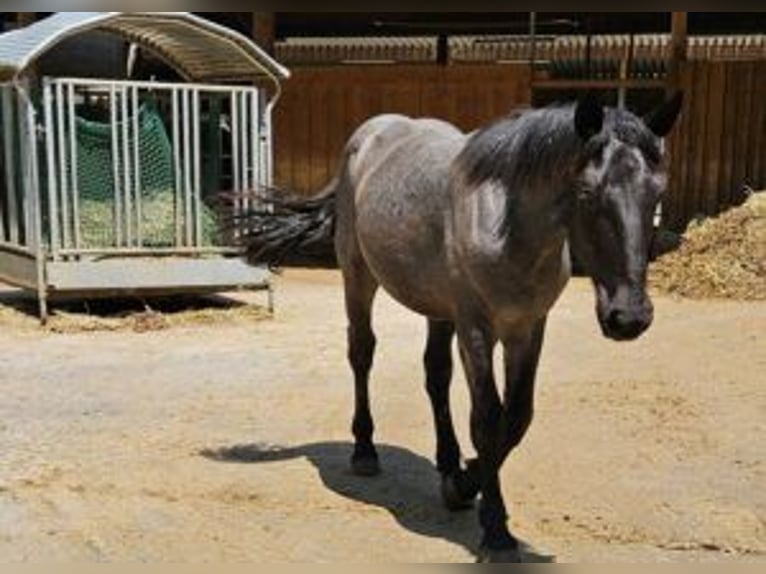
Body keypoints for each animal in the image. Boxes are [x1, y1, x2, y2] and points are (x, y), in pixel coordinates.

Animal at [238, 93, 684, 564]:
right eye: (586, 193)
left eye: (657, 192)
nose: (629, 316)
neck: (506, 227)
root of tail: (369, 135)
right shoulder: (476, 327)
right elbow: (488, 420)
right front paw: (494, 527)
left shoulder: (527, 328)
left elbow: (516, 419)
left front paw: (462, 480)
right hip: (358, 277)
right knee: (362, 354)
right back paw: (364, 450)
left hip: (439, 310)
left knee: (436, 375)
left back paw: (448, 460)